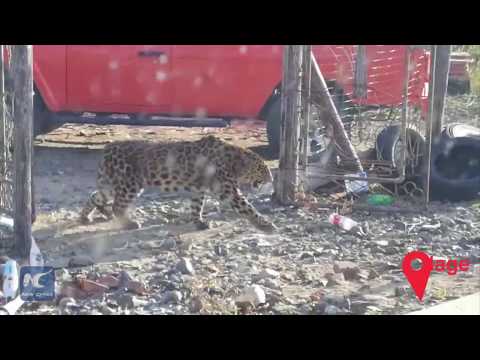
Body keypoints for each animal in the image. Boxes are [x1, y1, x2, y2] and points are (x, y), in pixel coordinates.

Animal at [79, 134, 278, 232]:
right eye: (262, 169)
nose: (272, 179)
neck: (233, 161)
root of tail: (107, 148)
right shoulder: (228, 191)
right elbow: (248, 207)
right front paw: (266, 225)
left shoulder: (199, 189)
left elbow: (197, 206)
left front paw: (199, 222)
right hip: (129, 184)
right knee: (117, 206)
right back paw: (129, 224)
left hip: (113, 183)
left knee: (96, 195)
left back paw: (86, 217)